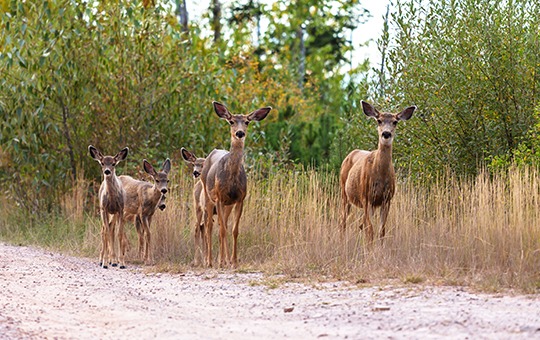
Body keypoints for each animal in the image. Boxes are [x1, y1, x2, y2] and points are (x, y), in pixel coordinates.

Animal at [200, 101, 272, 268]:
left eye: (247, 122)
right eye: (231, 121)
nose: (239, 133)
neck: (231, 178)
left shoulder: (240, 199)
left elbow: (234, 230)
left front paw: (233, 261)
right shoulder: (219, 198)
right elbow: (221, 230)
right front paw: (221, 261)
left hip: (228, 204)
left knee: (223, 224)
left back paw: (224, 259)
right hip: (208, 196)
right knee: (209, 226)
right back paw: (210, 261)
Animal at [340, 100, 416, 244]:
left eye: (395, 122)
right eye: (379, 120)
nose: (386, 134)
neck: (380, 176)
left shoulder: (387, 199)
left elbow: (382, 230)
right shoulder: (366, 197)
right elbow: (371, 230)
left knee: (361, 224)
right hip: (344, 193)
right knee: (343, 221)